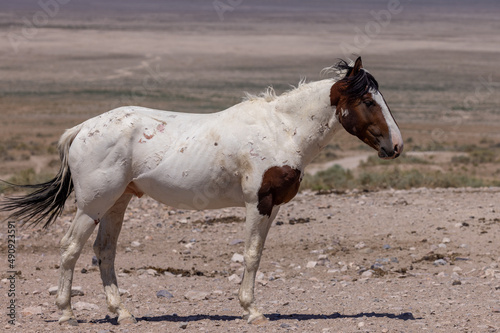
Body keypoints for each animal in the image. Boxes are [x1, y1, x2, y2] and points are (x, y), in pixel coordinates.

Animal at [0, 57, 402, 324]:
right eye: (368, 101)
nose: (395, 146)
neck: (281, 129)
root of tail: (82, 128)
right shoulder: (258, 203)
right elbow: (251, 255)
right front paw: (252, 311)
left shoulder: (272, 206)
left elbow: (257, 254)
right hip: (92, 206)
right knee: (71, 249)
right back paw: (66, 314)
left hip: (117, 203)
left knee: (104, 252)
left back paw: (123, 313)